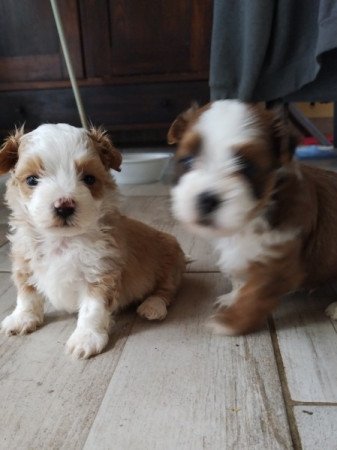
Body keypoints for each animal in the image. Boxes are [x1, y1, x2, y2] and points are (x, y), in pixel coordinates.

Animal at [0, 123, 185, 358]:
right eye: (32, 180)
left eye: (89, 178)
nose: (64, 206)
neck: (62, 240)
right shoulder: (24, 263)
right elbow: (26, 295)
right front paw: (22, 318)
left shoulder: (101, 272)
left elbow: (92, 309)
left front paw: (85, 338)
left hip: (170, 263)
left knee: (166, 291)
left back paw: (152, 306)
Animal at [169, 100, 336, 336]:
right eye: (188, 159)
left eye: (247, 166)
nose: (206, 199)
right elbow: (240, 279)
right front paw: (232, 298)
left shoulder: (277, 261)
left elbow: (254, 295)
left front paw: (231, 322)